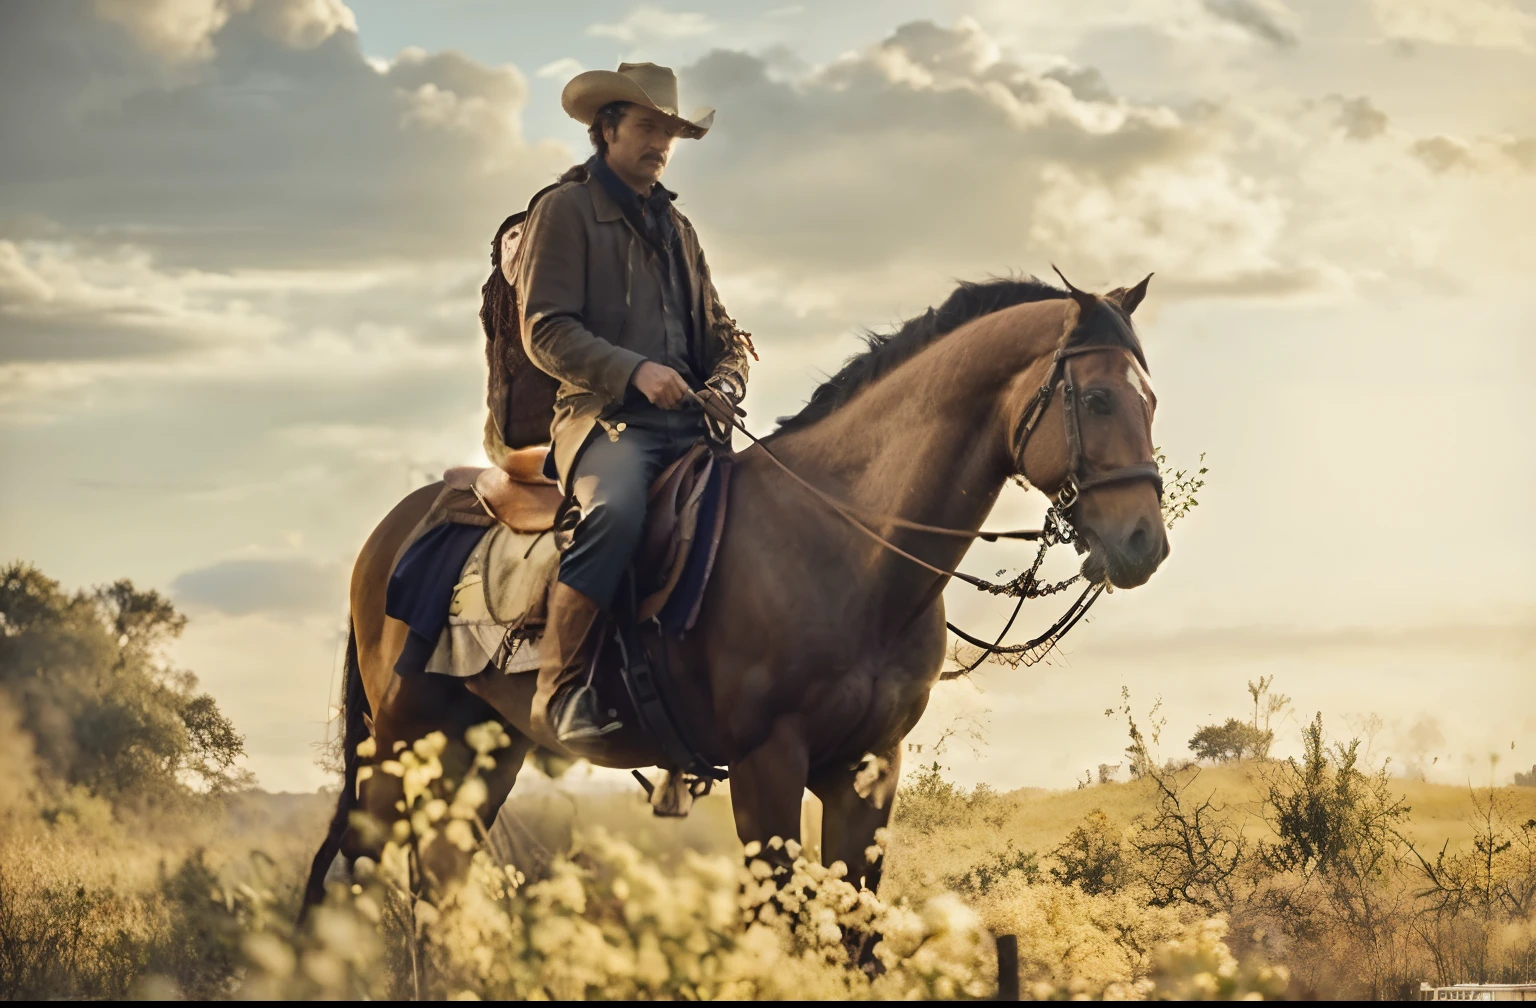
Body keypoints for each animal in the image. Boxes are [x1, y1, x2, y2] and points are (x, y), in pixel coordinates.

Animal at [296, 271, 1161, 915]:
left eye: (1150, 400)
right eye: (1096, 399)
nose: (1144, 543)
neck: (844, 543)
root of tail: (390, 532)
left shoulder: (869, 770)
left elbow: (857, 930)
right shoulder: (766, 762)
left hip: (480, 751)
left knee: (437, 880)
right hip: (402, 743)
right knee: (367, 875)